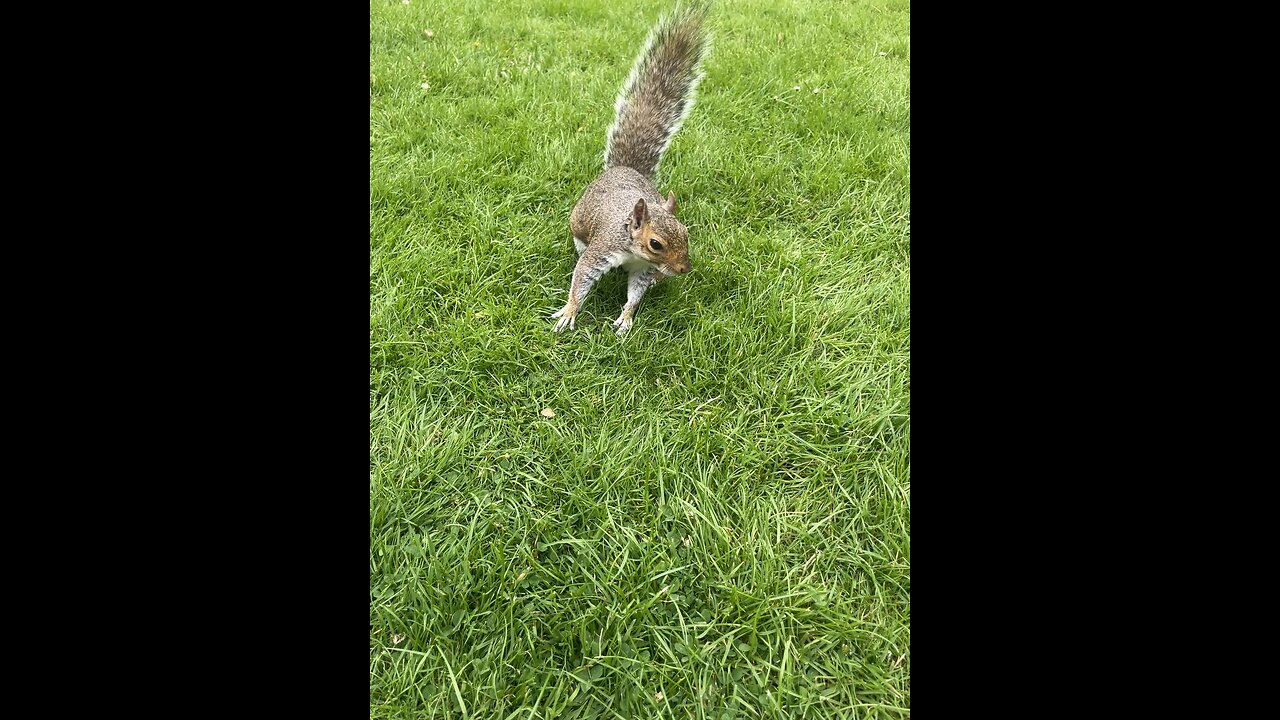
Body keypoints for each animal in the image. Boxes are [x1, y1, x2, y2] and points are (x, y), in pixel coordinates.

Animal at [547, 2, 711, 335]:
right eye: (656, 244)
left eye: (685, 232)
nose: (684, 269)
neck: (631, 250)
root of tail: (624, 169)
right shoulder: (603, 249)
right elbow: (582, 277)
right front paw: (569, 311)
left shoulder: (642, 268)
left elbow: (637, 290)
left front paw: (626, 317)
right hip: (579, 226)